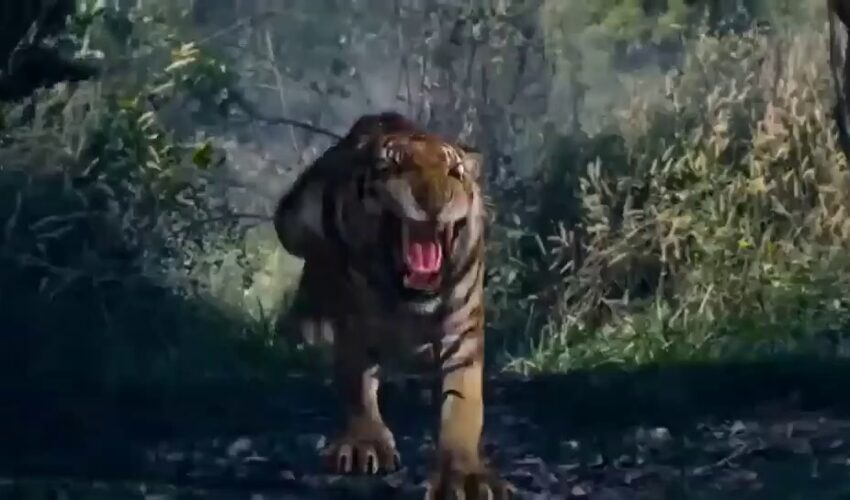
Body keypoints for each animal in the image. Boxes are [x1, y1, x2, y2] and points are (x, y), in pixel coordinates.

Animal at [273, 112, 514, 499]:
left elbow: (463, 405)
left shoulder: (462, 336)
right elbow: (357, 388)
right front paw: (365, 445)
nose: (433, 201)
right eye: (394, 167)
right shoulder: (355, 329)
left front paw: (465, 475)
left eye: (455, 172)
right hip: (292, 224)